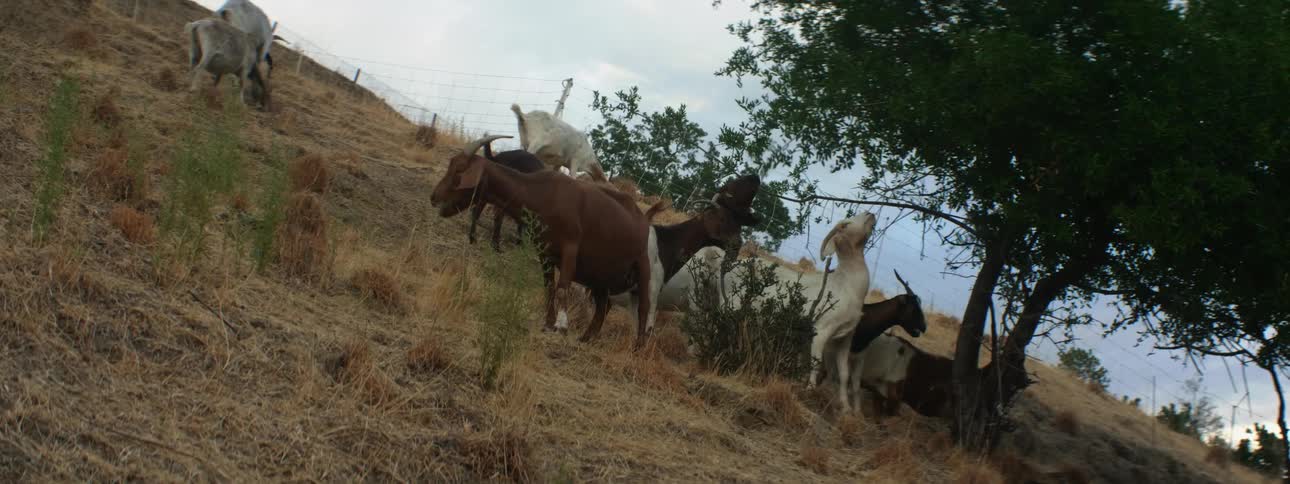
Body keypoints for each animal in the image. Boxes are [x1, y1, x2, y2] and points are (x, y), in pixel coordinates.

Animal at [431, 135, 663, 348]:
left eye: (459, 170)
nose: (434, 197)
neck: (542, 195)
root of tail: (643, 219)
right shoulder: (545, 253)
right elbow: (549, 288)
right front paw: (548, 323)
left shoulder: (570, 247)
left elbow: (562, 287)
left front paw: (561, 325)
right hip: (600, 274)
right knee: (603, 305)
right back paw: (587, 338)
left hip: (643, 265)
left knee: (644, 305)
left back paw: (638, 346)